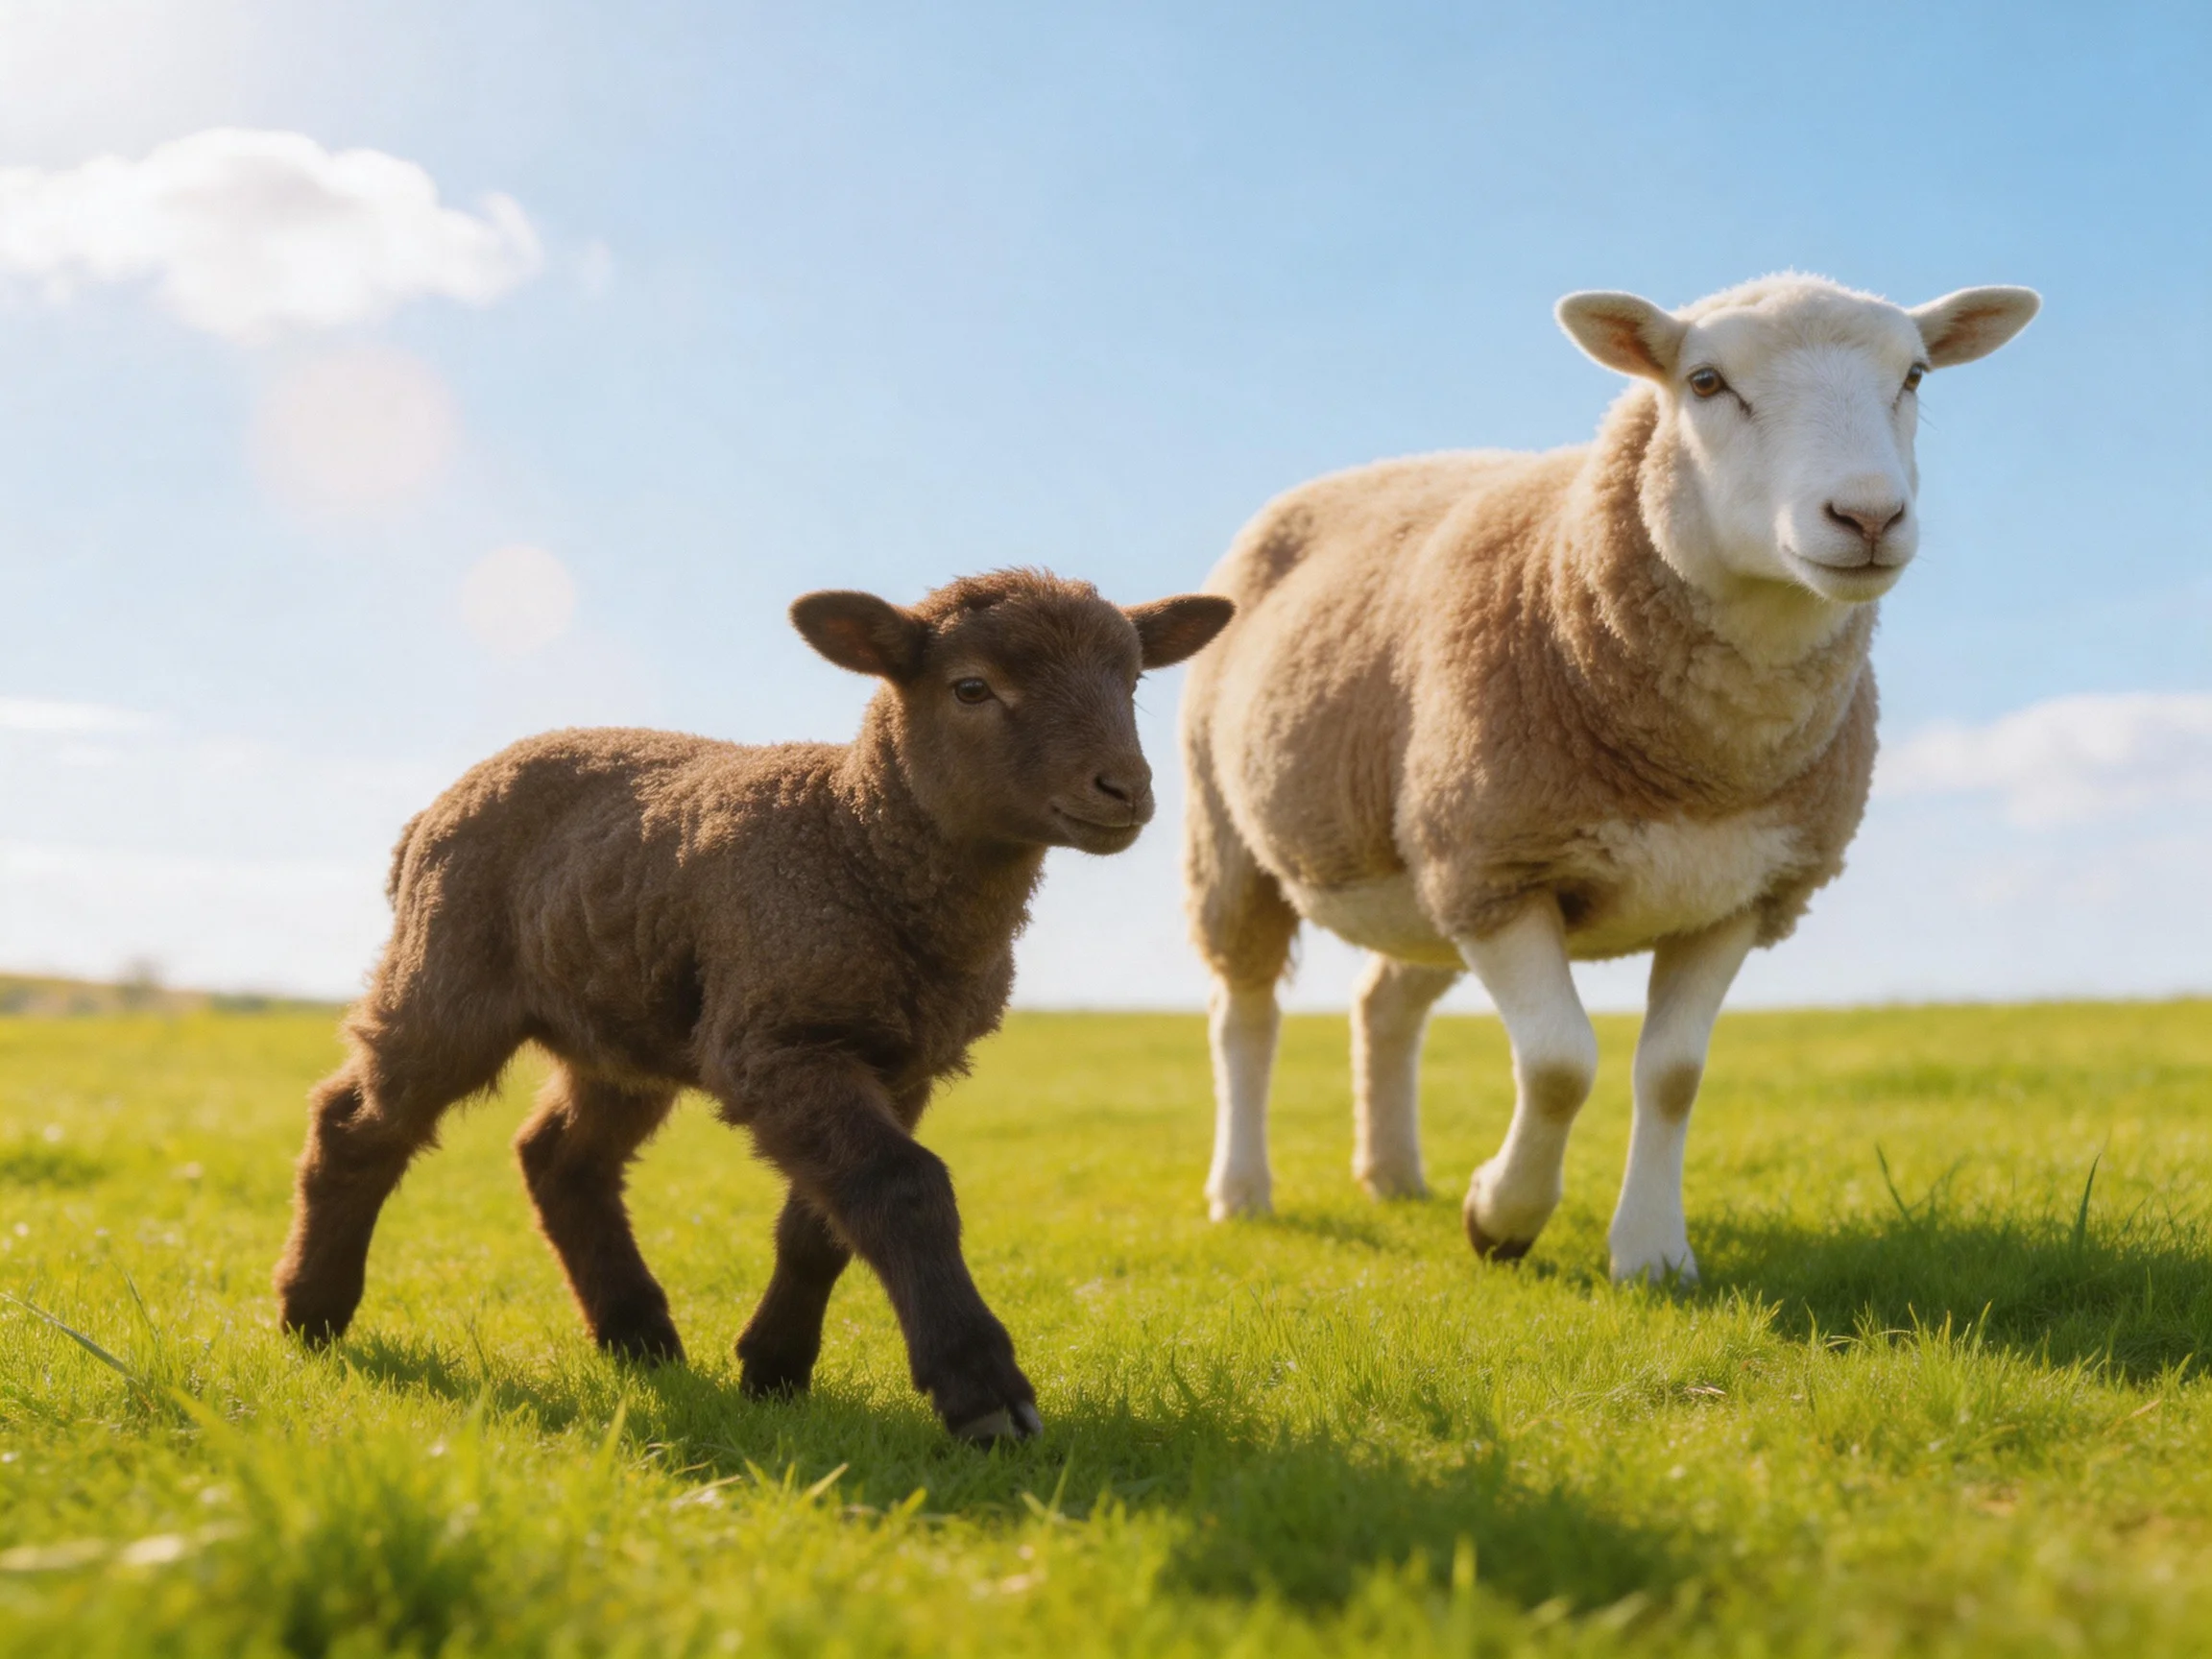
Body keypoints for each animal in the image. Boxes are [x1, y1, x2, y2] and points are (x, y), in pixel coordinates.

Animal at [274, 569, 1234, 1442]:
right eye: (971, 687)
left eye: (1133, 683)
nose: (1126, 790)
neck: (855, 840)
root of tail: (430, 813)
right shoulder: (777, 1038)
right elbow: (905, 1187)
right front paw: (983, 1392)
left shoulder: (897, 1059)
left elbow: (829, 1220)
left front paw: (773, 1370)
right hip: (447, 977)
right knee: (356, 1122)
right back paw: (311, 1312)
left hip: (623, 1022)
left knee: (561, 1158)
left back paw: (638, 1336)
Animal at [1180, 274, 2039, 1281]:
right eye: (1705, 381)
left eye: (1914, 375)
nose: (1868, 518)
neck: (1700, 770)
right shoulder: (1502, 869)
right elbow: (1560, 1064)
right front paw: (1501, 1219)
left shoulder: (1738, 892)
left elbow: (1672, 1076)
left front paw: (1653, 1253)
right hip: (1238, 841)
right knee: (1243, 1015)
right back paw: (1242, 1192)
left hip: (1423, 875)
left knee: (1383, 1007)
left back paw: (1393, 1175)